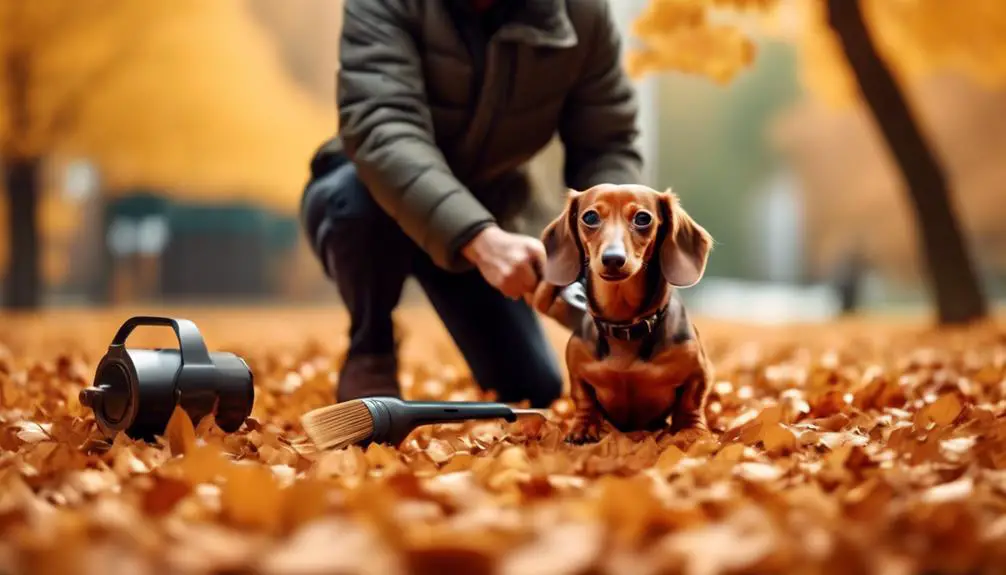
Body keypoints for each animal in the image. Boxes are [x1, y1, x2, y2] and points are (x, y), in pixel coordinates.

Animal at [535, 183, 716, 444]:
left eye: (643, 218)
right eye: (590, 217)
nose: (613, 258)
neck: (624, 327)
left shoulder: (699, 372)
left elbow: (691, 402)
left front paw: (691, 430)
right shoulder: (578, 371)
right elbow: (584, 399)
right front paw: (583, 427)